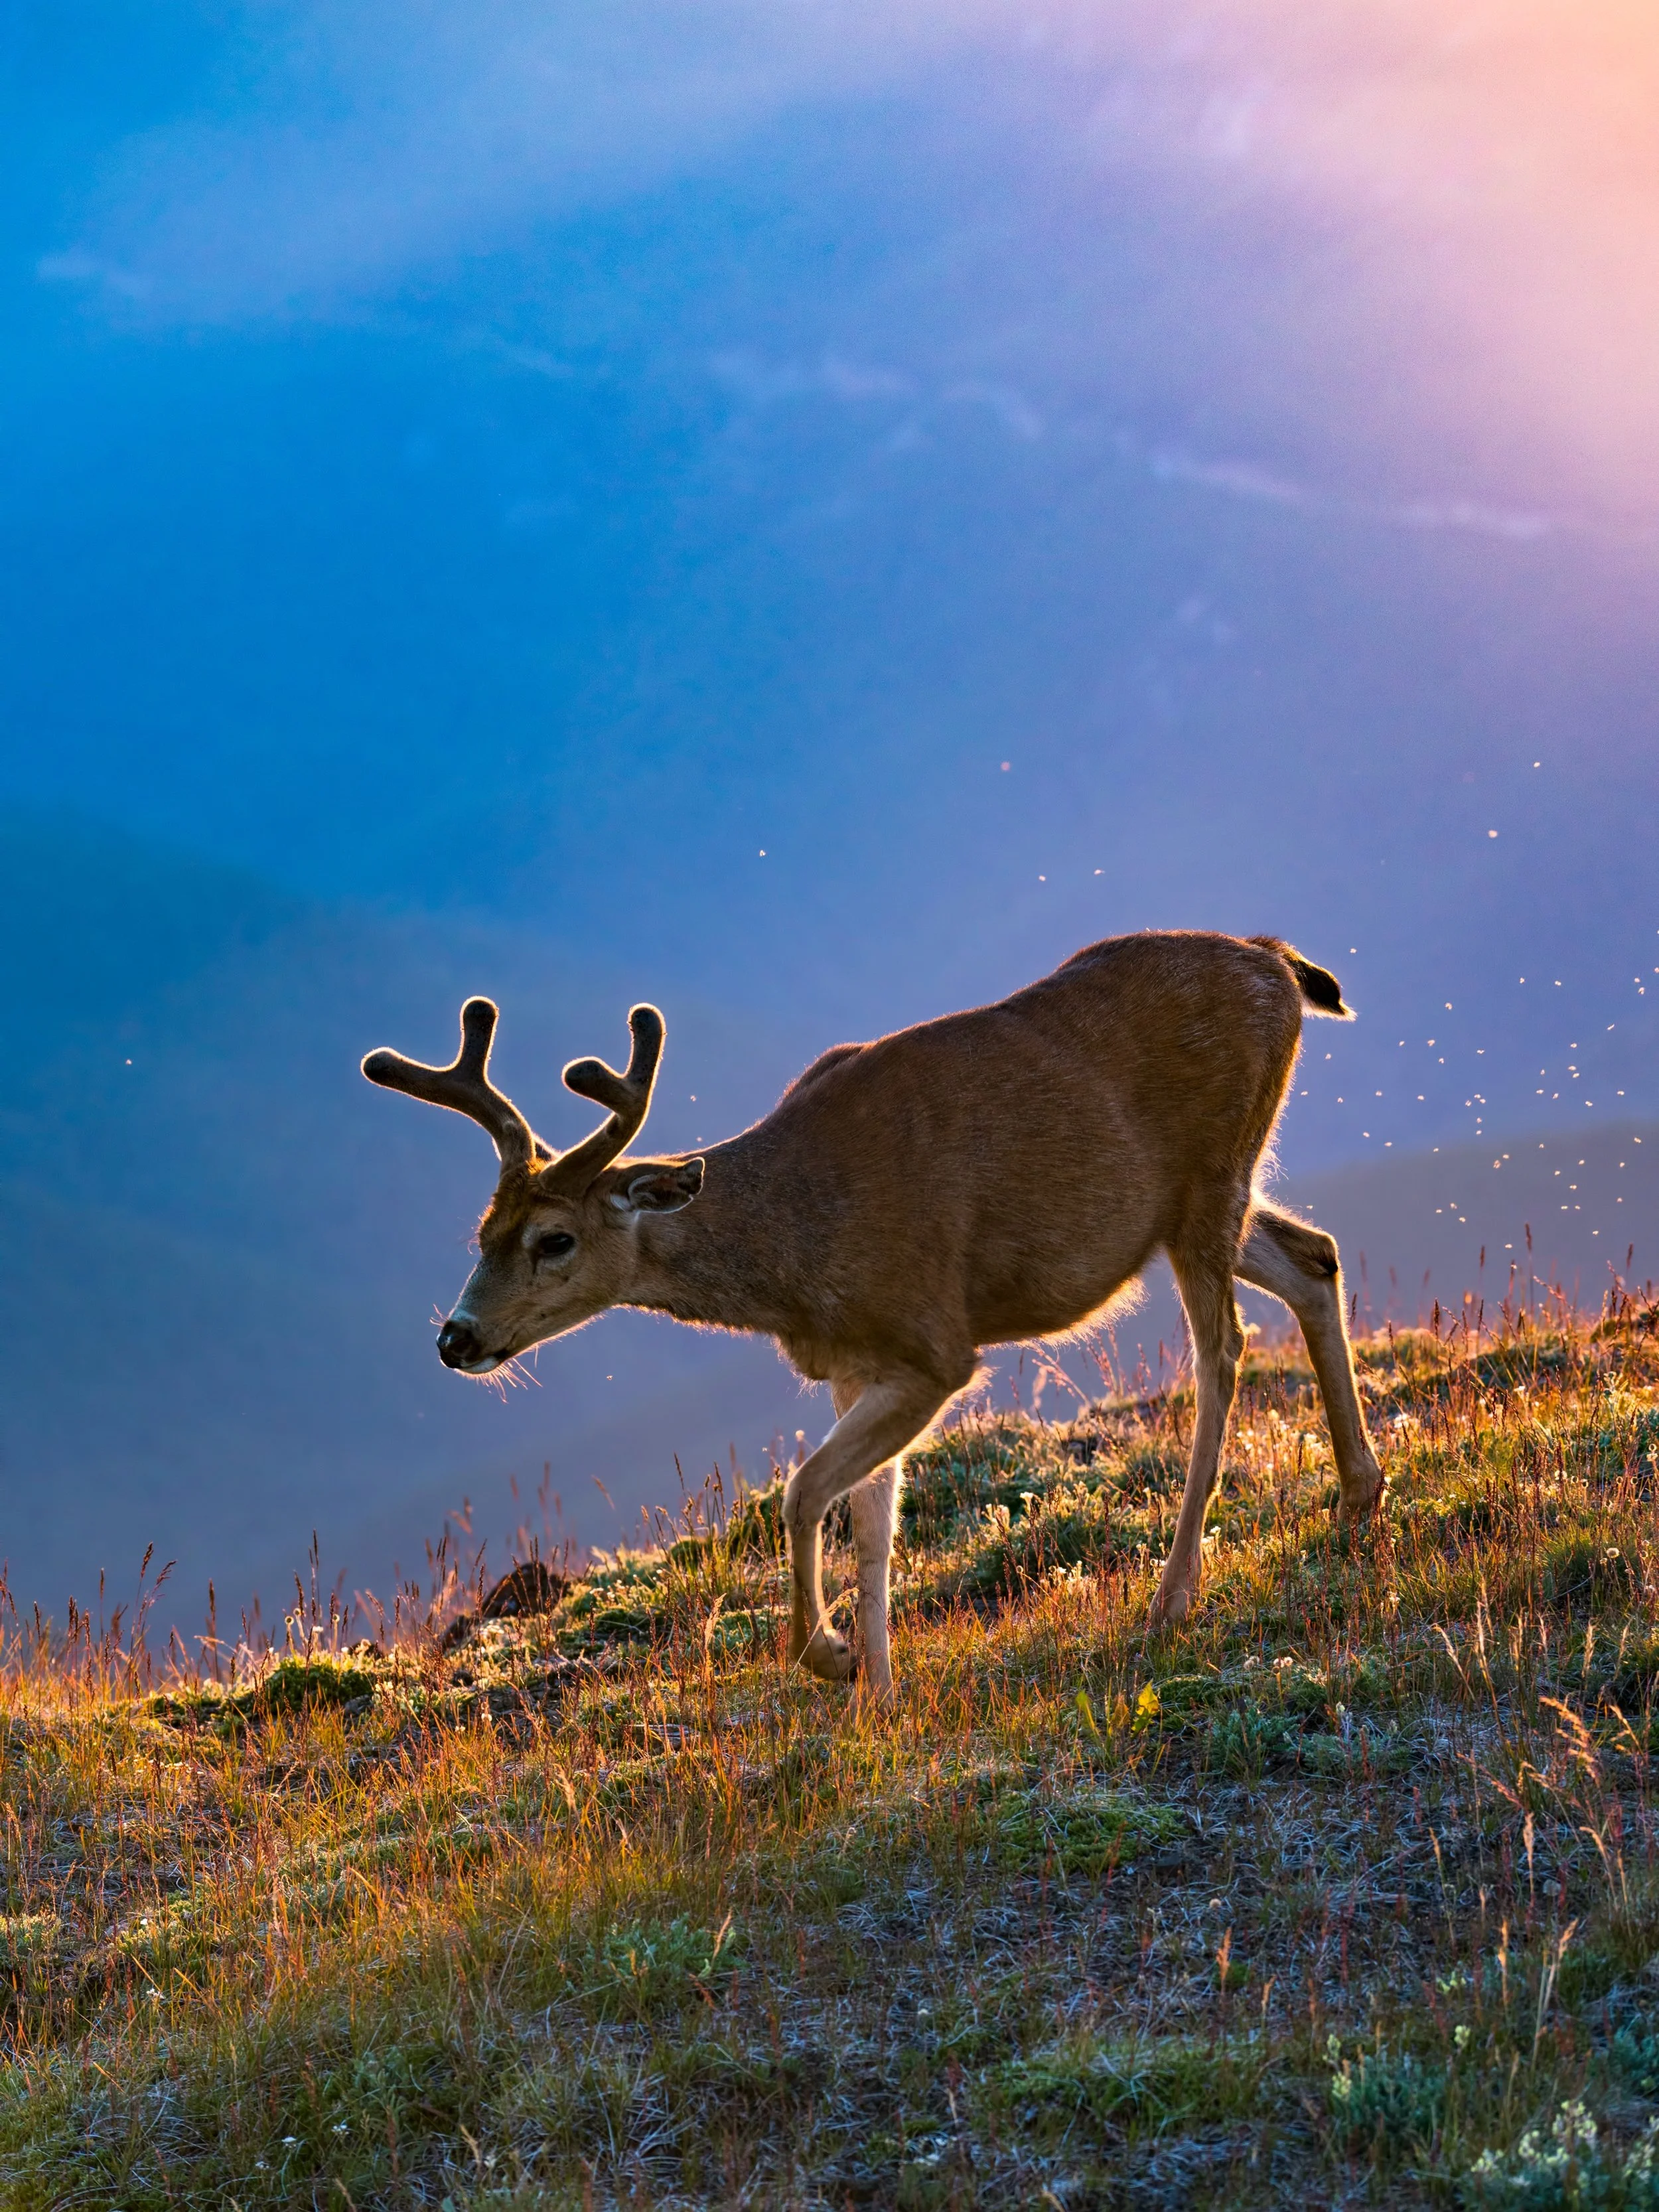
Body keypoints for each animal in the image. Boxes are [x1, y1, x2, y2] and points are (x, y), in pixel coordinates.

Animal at [362, 930, 1385, 1697]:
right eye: (481, 1231)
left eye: (554, 1239)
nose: (455, 1338)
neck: (800, 1251)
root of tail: (1276, 960)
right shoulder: (855, 1364)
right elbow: (872, 1524)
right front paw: (881, 1694)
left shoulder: (934, 1347)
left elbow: (804, 1493)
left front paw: (833, 1657)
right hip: (1189, 1204)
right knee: (1314, 1257)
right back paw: (1359, 1496)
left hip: (1211, 1175)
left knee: (1224, 1351)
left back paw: (1175, 1594)